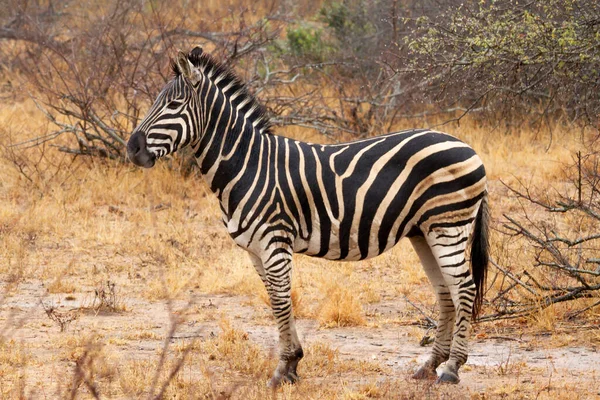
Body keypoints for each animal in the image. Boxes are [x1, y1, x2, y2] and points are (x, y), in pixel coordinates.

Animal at [126, 47, 488, 388]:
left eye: (173, 105)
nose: (132, 149)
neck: (248, 165)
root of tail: (468, 148)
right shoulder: (255, 250)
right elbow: (275, 300)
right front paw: (292, 365)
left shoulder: (274, 242)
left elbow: (281, 301)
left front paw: (284, 368)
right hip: (424, 232)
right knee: (445, 291)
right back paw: (430, 365)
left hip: (448, 225)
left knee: (464, 287)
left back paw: (451, 369)